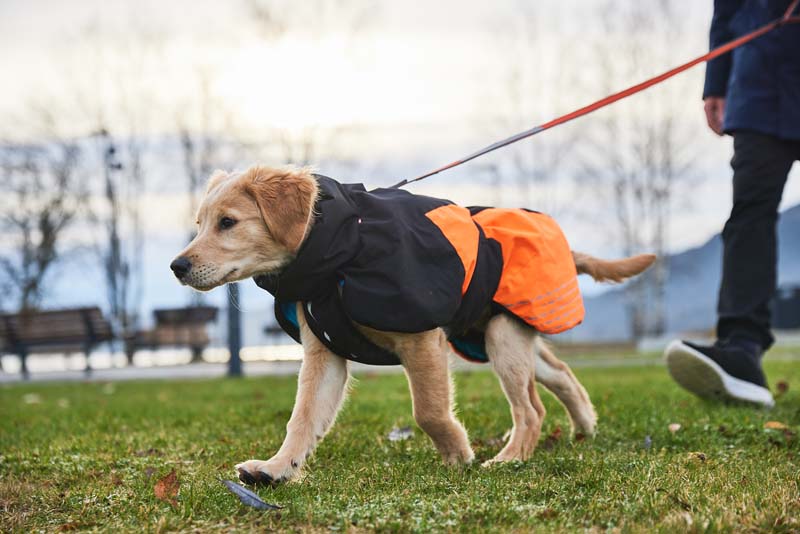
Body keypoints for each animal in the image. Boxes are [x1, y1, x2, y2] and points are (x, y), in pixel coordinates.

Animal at [172, 166, 652, 486]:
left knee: (531, 409)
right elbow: (303, 418)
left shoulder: (421, 341)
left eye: (228, 223)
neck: (341, 250)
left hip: (502, 337)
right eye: (199, 224)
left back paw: (511, 457)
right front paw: (277, 469)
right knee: (561, 374)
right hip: (497, 334)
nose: (178, 267)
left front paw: (458, 454)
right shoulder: (324, 354)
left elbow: (429, 411)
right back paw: (584, 427)